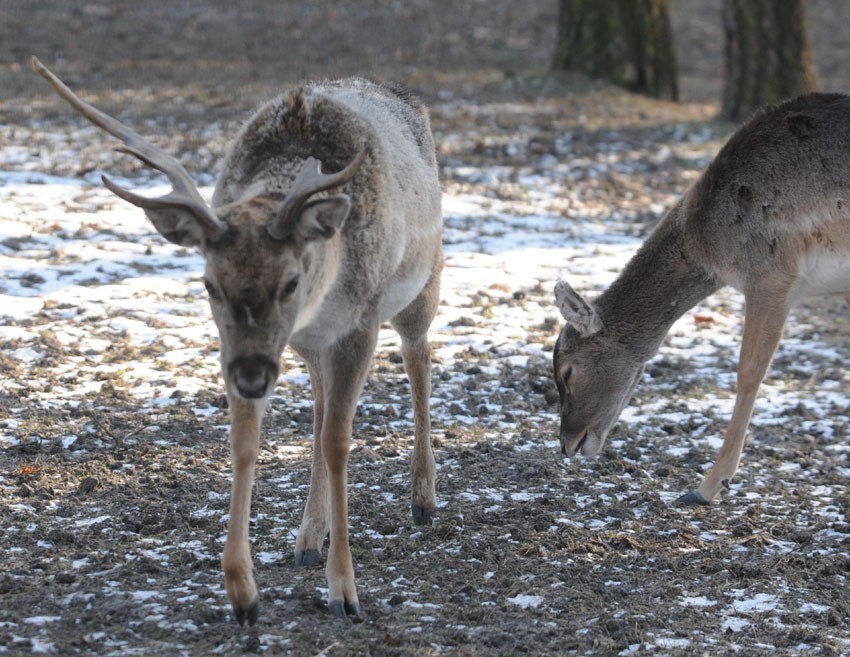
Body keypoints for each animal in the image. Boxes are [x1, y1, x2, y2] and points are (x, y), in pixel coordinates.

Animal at [33, 55, 444, 620]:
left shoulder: (360, 321)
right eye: (209, 283)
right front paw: (242, 591)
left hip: (421, 285)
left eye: (291, 281)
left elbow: (339, 441)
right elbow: (248, 441)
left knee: (418, 355)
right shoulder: (247, 348)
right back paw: (307, 539)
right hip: (306, 347)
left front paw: (345, 592)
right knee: (320, 408)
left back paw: (423, 499)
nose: (250, 377)